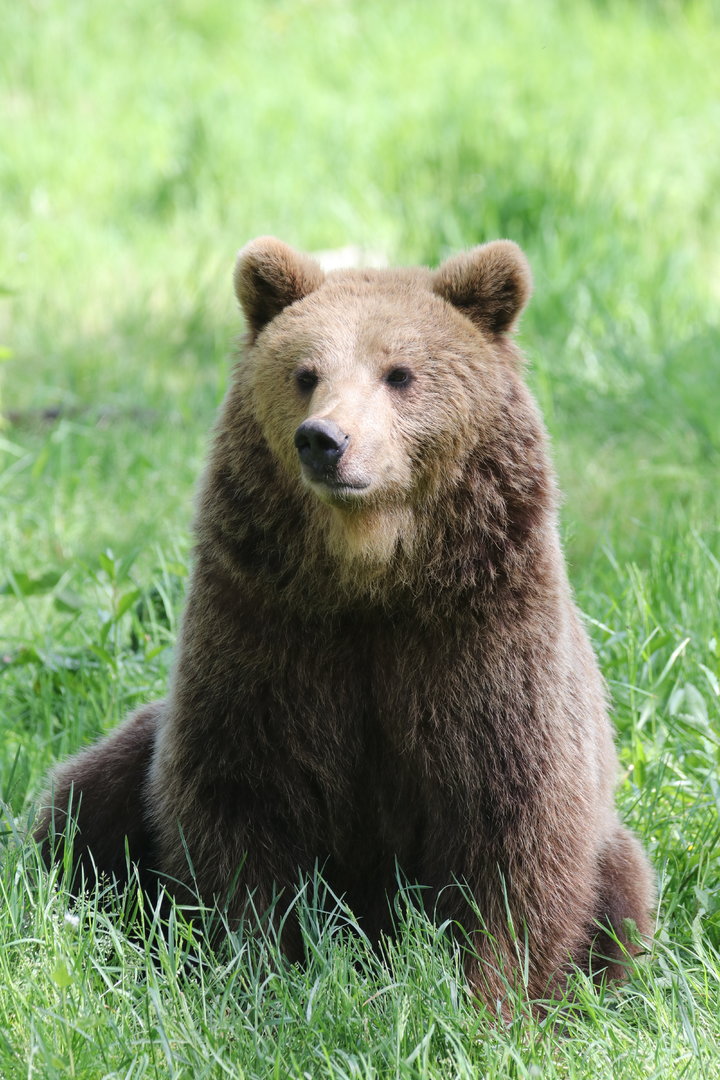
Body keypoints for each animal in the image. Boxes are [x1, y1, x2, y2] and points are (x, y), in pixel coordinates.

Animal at [34, 236, 654, 1009]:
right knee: (79, 804)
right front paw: (258, 976)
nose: (324, 440)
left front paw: (487, 997)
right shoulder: (268, 633)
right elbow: (240, 806)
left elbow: (512, 827)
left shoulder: (481, 644)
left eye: (401, 373)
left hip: (616, 855)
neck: (370, 580)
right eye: (305, 373)